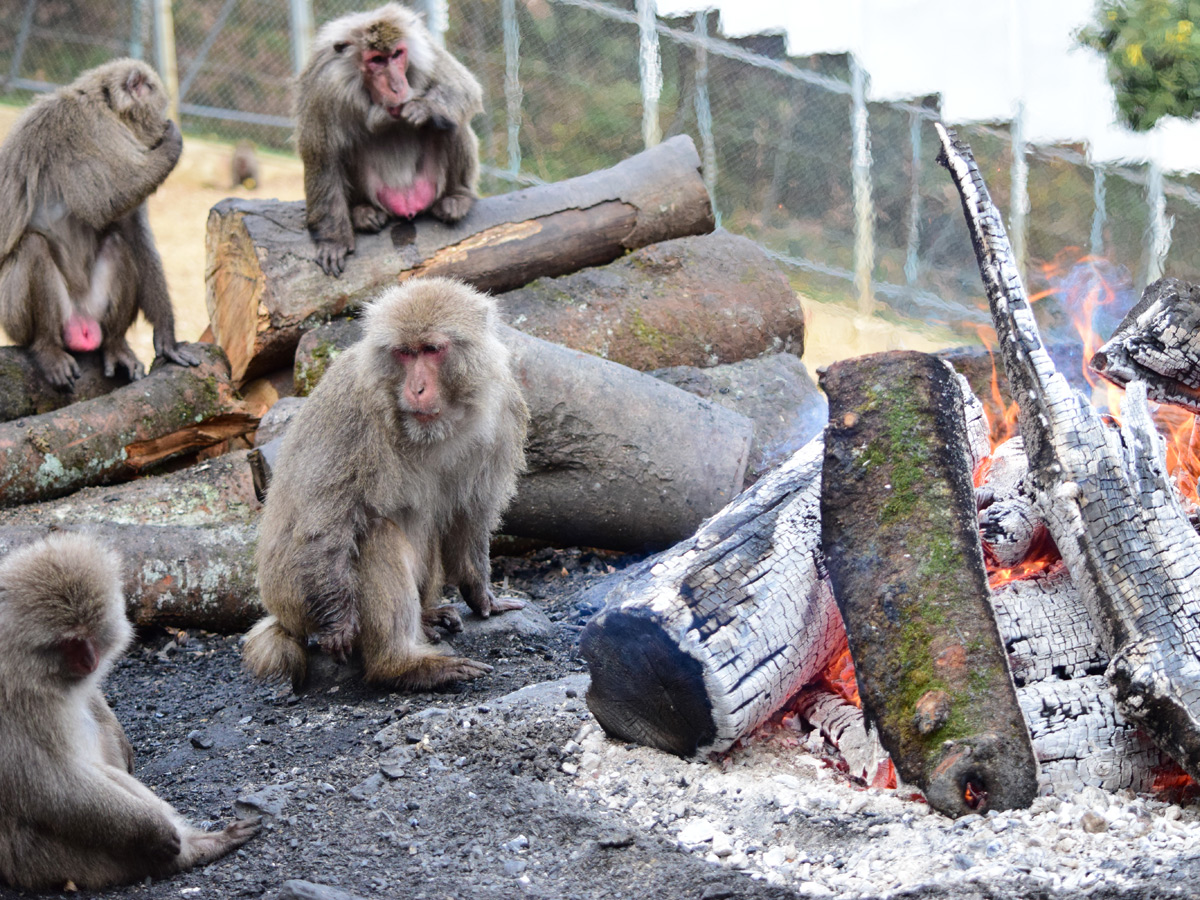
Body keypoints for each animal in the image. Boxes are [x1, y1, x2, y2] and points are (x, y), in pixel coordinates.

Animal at [0, 58, 200, 391]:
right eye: (158, 106)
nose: (163, 121)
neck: (105, 106)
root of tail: (81, 321)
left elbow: (133, 232)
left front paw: (167, 337)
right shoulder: (85, 128)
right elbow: (100, 201)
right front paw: (173, 141)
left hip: (94, 310)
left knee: (118, 243)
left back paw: (115, 344)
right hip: (13, 317)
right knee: (33, 246)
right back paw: (46, 347)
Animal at [0, 533, 260, 891]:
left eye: (91, 632)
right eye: (70, 642)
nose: (90, 660)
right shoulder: (17, 707)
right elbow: (52, 785)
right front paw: (152, 831)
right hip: (49, 859)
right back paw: (194, 849)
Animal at [243, 277, 529, 690]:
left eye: (431, 350)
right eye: (404, 354)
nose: (417, 389)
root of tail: (282, 616)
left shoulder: (504, 410)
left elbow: (469, 513)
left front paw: (481, 596)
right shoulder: (350, 412)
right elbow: (322, 526)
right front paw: (338, 622)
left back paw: (426, 618)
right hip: (295, 599)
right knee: (375, 534)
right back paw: (401, 664)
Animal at [295, 4, 484, 277]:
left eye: (396, 55)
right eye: (376, 60)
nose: (397, 87)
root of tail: (407, 204)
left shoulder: (426, 49)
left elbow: (464, 90)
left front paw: (425, 109)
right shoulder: (323, 83)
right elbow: (322, 155)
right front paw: (333, 239)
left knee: (452, 123)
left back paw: (458, 197)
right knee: (346, 144)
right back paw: (362, 211)